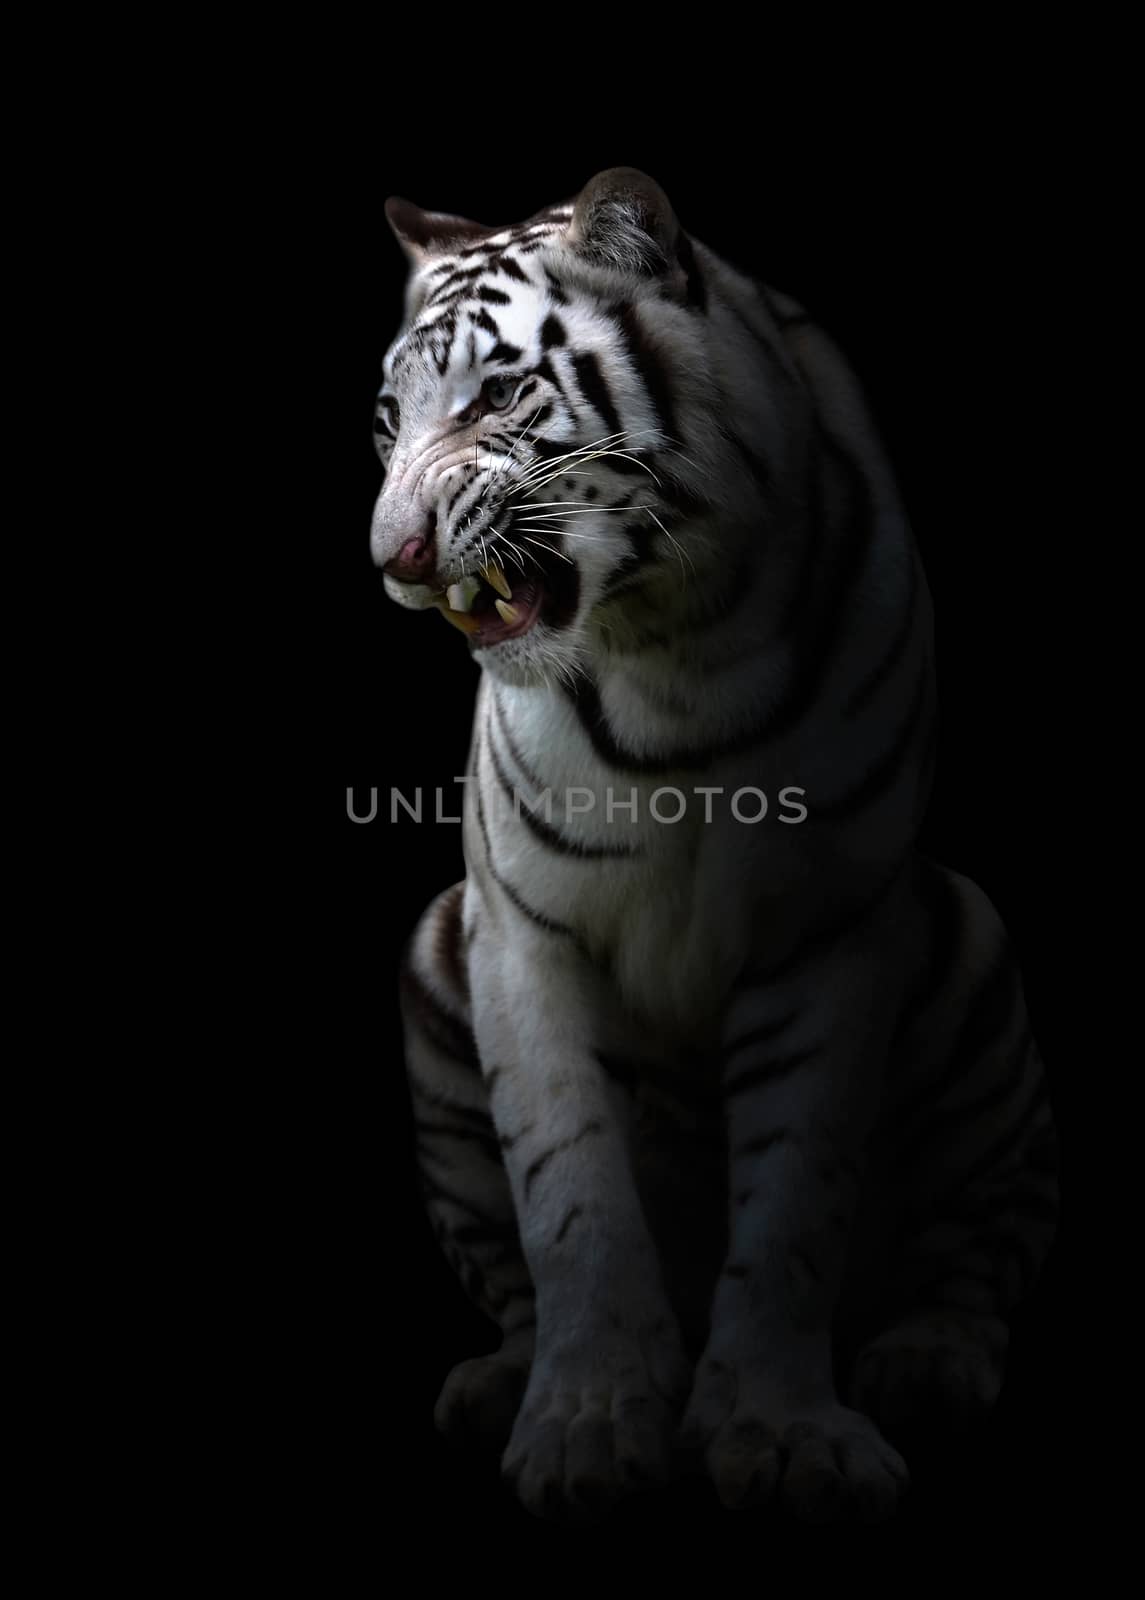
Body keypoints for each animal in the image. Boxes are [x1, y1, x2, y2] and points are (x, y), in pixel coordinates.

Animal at [369, 168, 1055, 1516]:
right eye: (385, 418)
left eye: (496, 394)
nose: (396, 561)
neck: (665, 644)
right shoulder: (521, 934)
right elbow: (568, 1188)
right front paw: (587, 1426)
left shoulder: (831, 926)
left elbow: (794, 1195)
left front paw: (780, 1433)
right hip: (438, 959)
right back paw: (497, 1380)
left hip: (969, 960)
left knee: (974, 1256)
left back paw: (924, 1361)